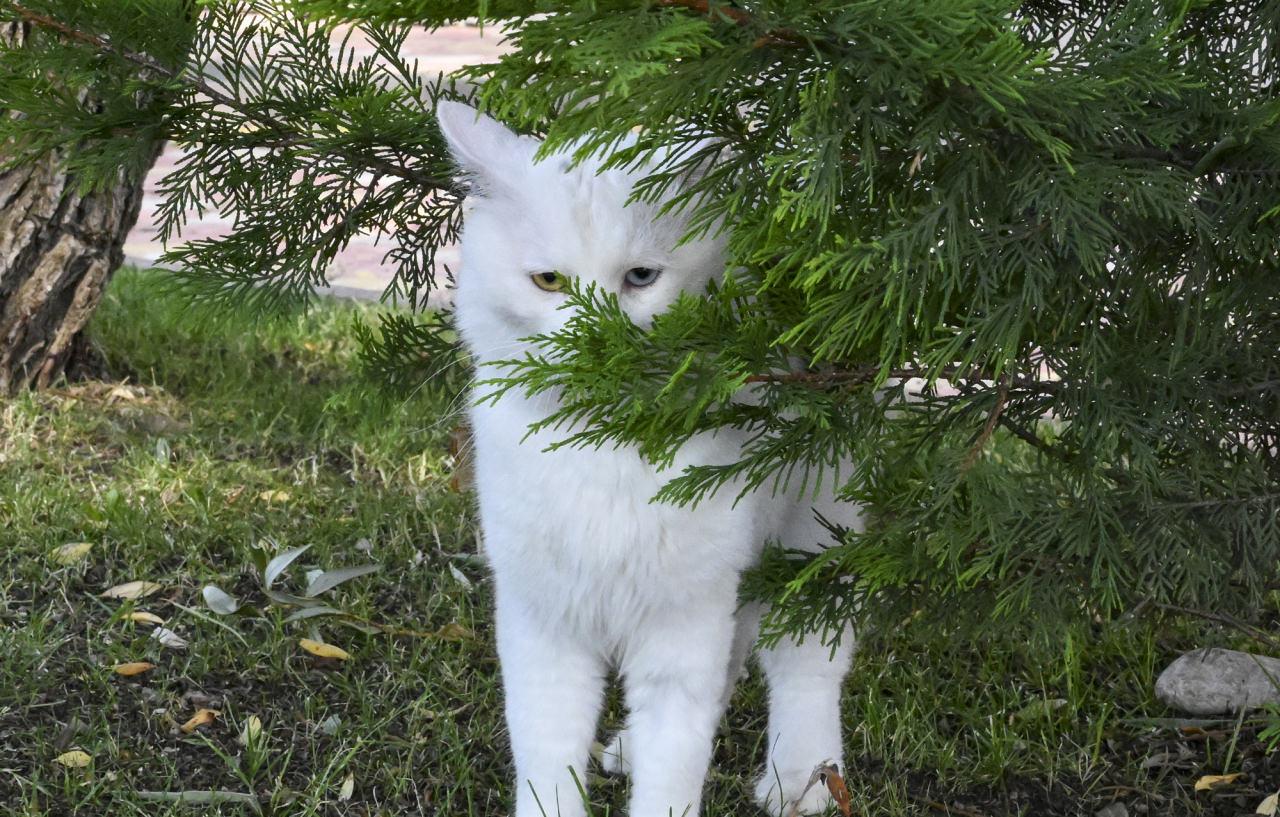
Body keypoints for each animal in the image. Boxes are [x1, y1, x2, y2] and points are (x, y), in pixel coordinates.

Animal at [440, 102, 860, 817]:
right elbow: (548, 761)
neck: (599, 447)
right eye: (548, 281)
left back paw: (800, 777)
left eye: (640, 278)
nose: (595, 340)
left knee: (804, 667)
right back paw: (631, 747)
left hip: (813, 539)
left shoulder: (682, 623)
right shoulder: (543, 623)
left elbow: (675, 771)